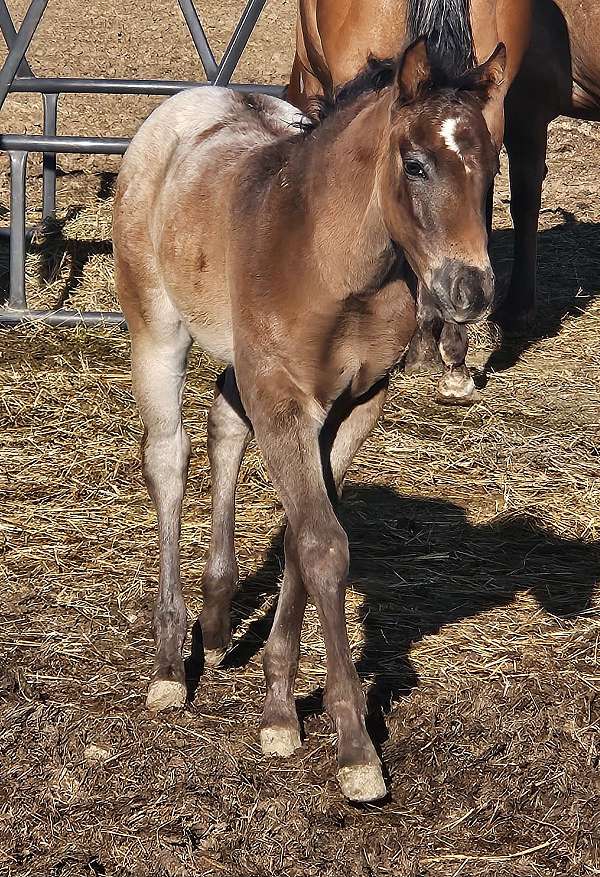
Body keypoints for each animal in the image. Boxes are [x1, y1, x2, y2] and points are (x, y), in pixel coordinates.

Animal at [113, 38, 505, 802]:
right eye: (416, 163)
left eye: (493, 164)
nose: (468, 290)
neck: (336, 264)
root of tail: (184, 106)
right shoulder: (284, 399)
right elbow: (323, 544)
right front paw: (355, 749)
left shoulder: (356, 404)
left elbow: (303, 537)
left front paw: (278, 708)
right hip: (157, 328)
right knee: (168, 457)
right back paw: (171, 665)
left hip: (239, 361)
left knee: (223, 419)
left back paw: (214, 619)